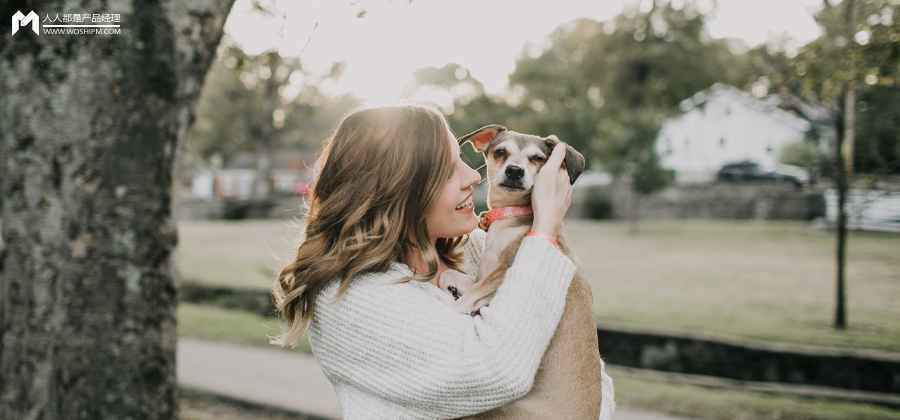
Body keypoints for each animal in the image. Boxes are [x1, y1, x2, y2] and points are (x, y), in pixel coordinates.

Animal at [440, 124, 616, 420]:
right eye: (500, 152)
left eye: (537, 159)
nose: (514, 171)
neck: (513, 217)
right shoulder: (485, 274)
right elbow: (463, 279)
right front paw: (448, 278)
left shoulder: (501, 276)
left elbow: (470, 295)